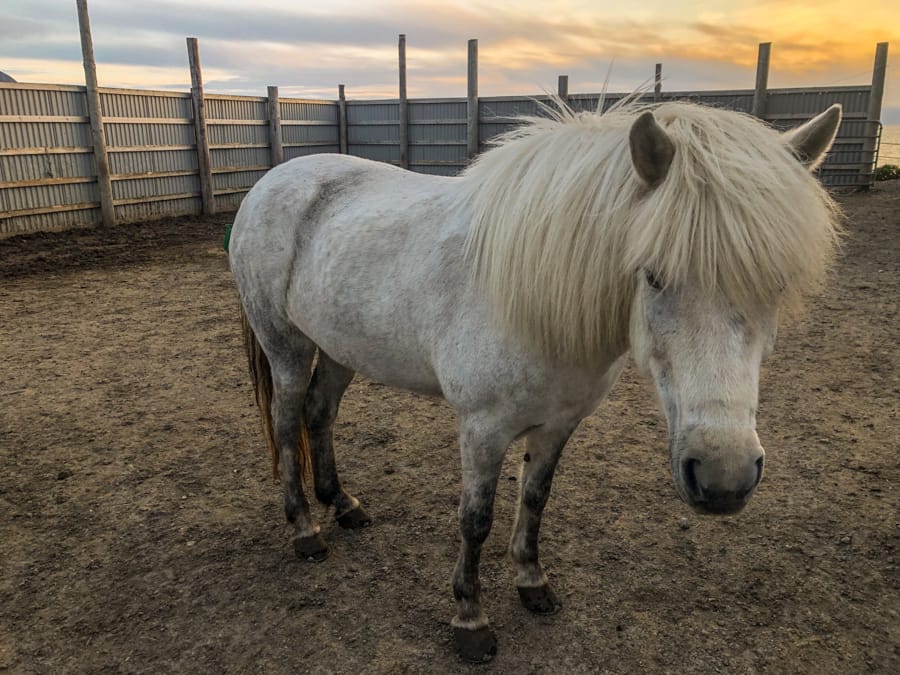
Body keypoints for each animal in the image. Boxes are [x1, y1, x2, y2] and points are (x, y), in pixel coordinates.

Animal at [227, 100, 844, 660]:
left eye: (778, 284)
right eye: (652, 275)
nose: (724, 479)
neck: (534, 299)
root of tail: (271, 182)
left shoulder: (559, 423)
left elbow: (535, 497)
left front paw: (531, 582)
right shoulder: (482, 428)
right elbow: (475, 519)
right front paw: (470, 620)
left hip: (339, 350)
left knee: (319, 414)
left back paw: (343, 503)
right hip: (286, 347)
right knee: (286, 425)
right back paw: (306, 529)